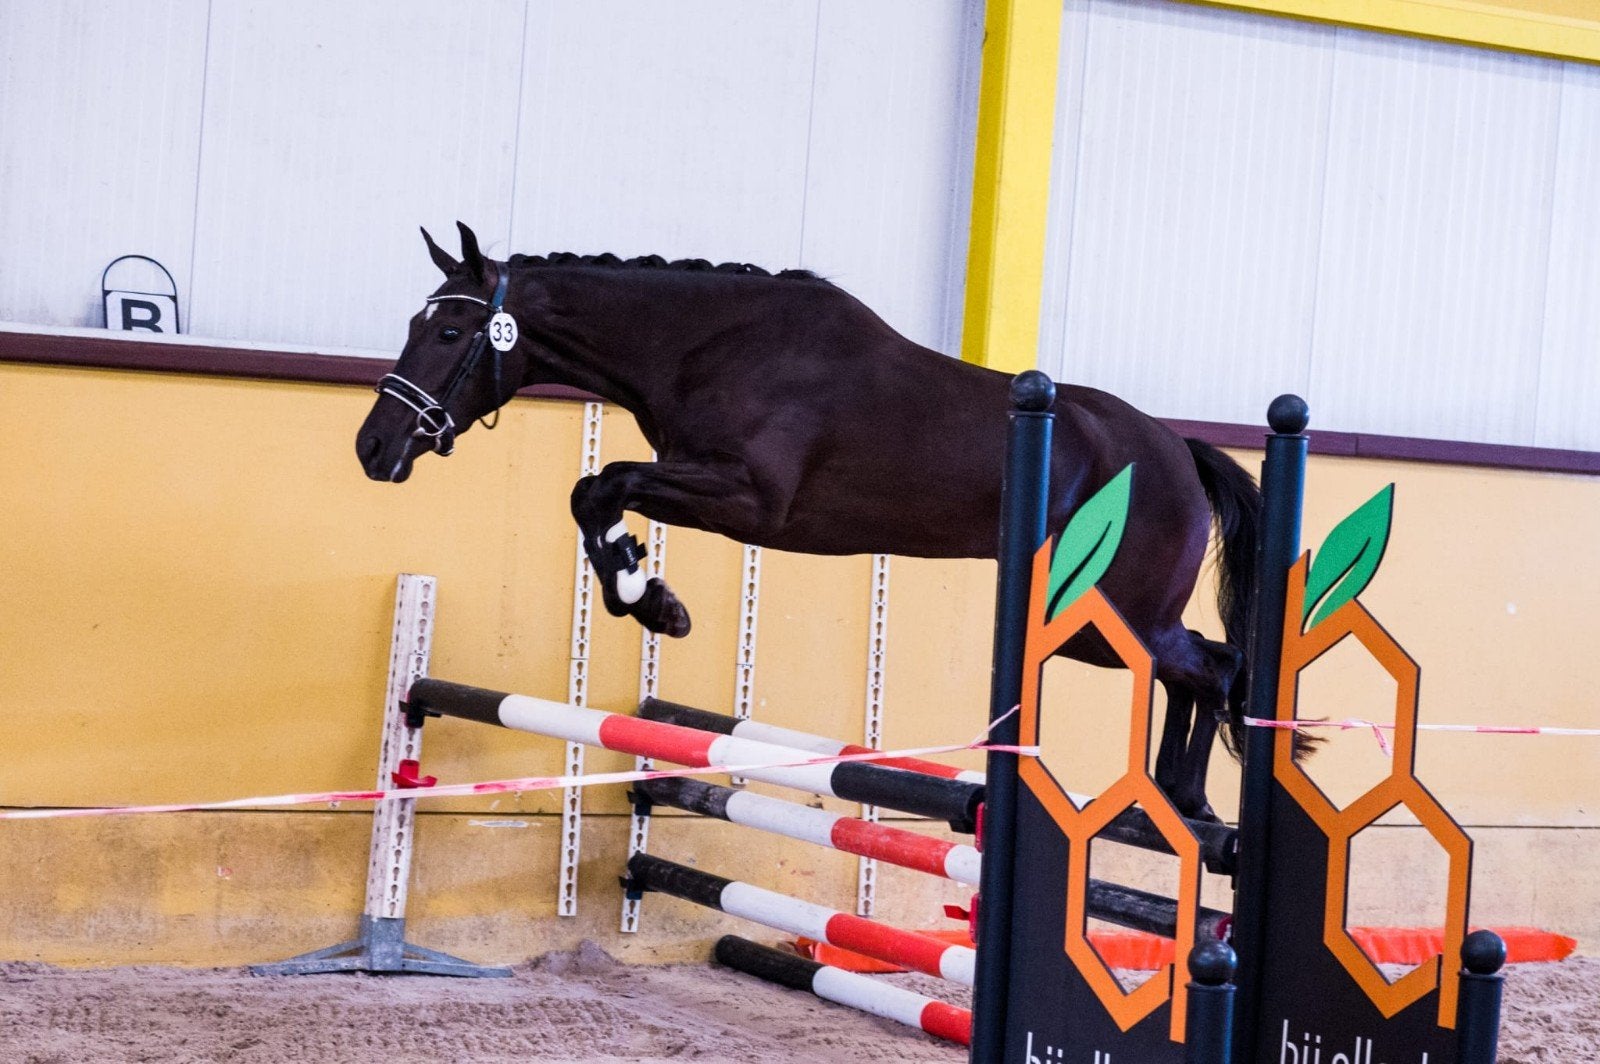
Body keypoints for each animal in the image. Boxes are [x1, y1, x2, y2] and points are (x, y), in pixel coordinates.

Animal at [356, 222, 1273, 821]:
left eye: (449, 329)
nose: (374, 447)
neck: (706, 345)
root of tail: (1176, 450)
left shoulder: (749, 501)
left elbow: (602, 485)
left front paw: (654, 602)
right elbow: (596, 495)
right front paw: (645, 590)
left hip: (1106, 616)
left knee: (1214, 666)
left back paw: (1188, 803)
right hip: (1090, 618)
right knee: (1201, 668)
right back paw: (1178, 804)